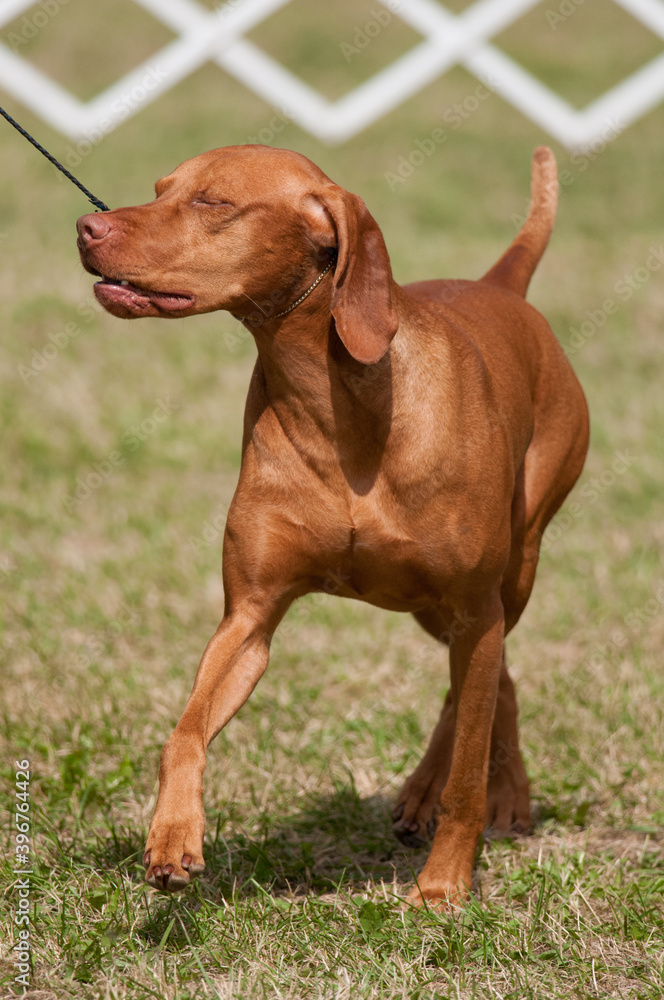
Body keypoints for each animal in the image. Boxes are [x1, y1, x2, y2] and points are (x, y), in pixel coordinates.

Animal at [75, 146, 588, 908]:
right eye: (161, 189)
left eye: (213, 202)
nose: (87, 226)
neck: (335, 402)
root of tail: (502, 287)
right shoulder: (249, 617)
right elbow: (184, 732)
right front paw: (173, 836)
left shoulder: (473, 604)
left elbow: (467, 769)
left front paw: (443, 885)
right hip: (436, 608)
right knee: (497, 682)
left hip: (509, 572)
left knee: (479, 687)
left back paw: (478, 797)